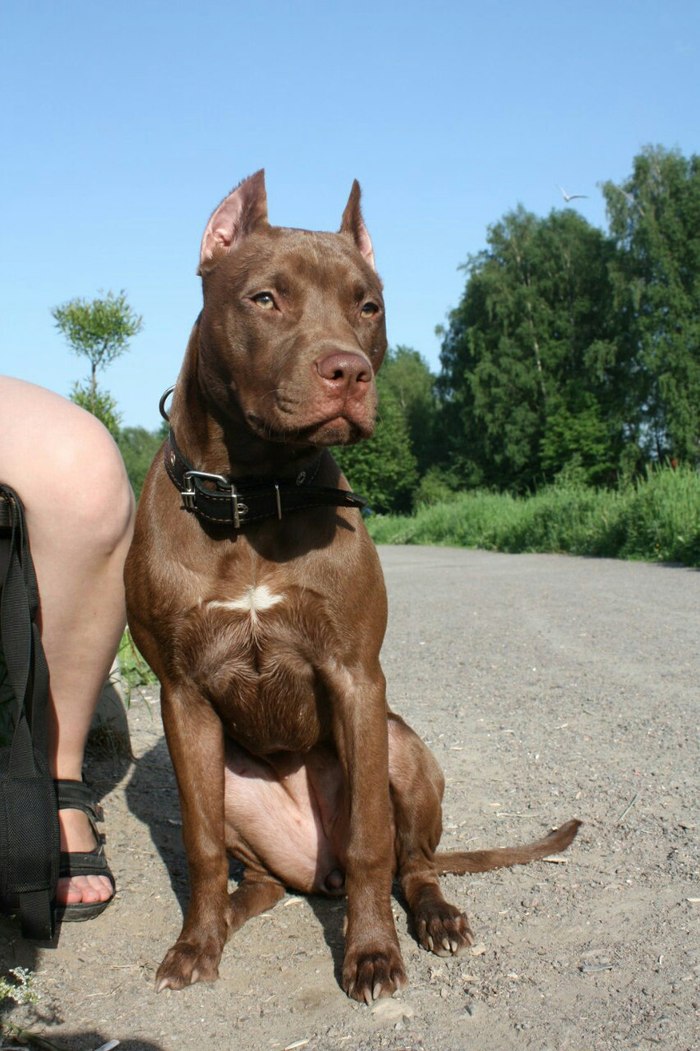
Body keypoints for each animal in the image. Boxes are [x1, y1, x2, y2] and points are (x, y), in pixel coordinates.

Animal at [124, 172, 575, 1000]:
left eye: (368, 305)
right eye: (265, 297)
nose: (348, 372)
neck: (255, 496)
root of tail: (318, 869)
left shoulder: (356, 675)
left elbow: (371, 840)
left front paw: (371, 953)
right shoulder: (182, 696)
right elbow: (200, 846)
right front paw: (195, 944)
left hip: (401, 745)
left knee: (410, 860)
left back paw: (435, 915)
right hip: (231, 782)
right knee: (259, 876)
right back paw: (232, 913)